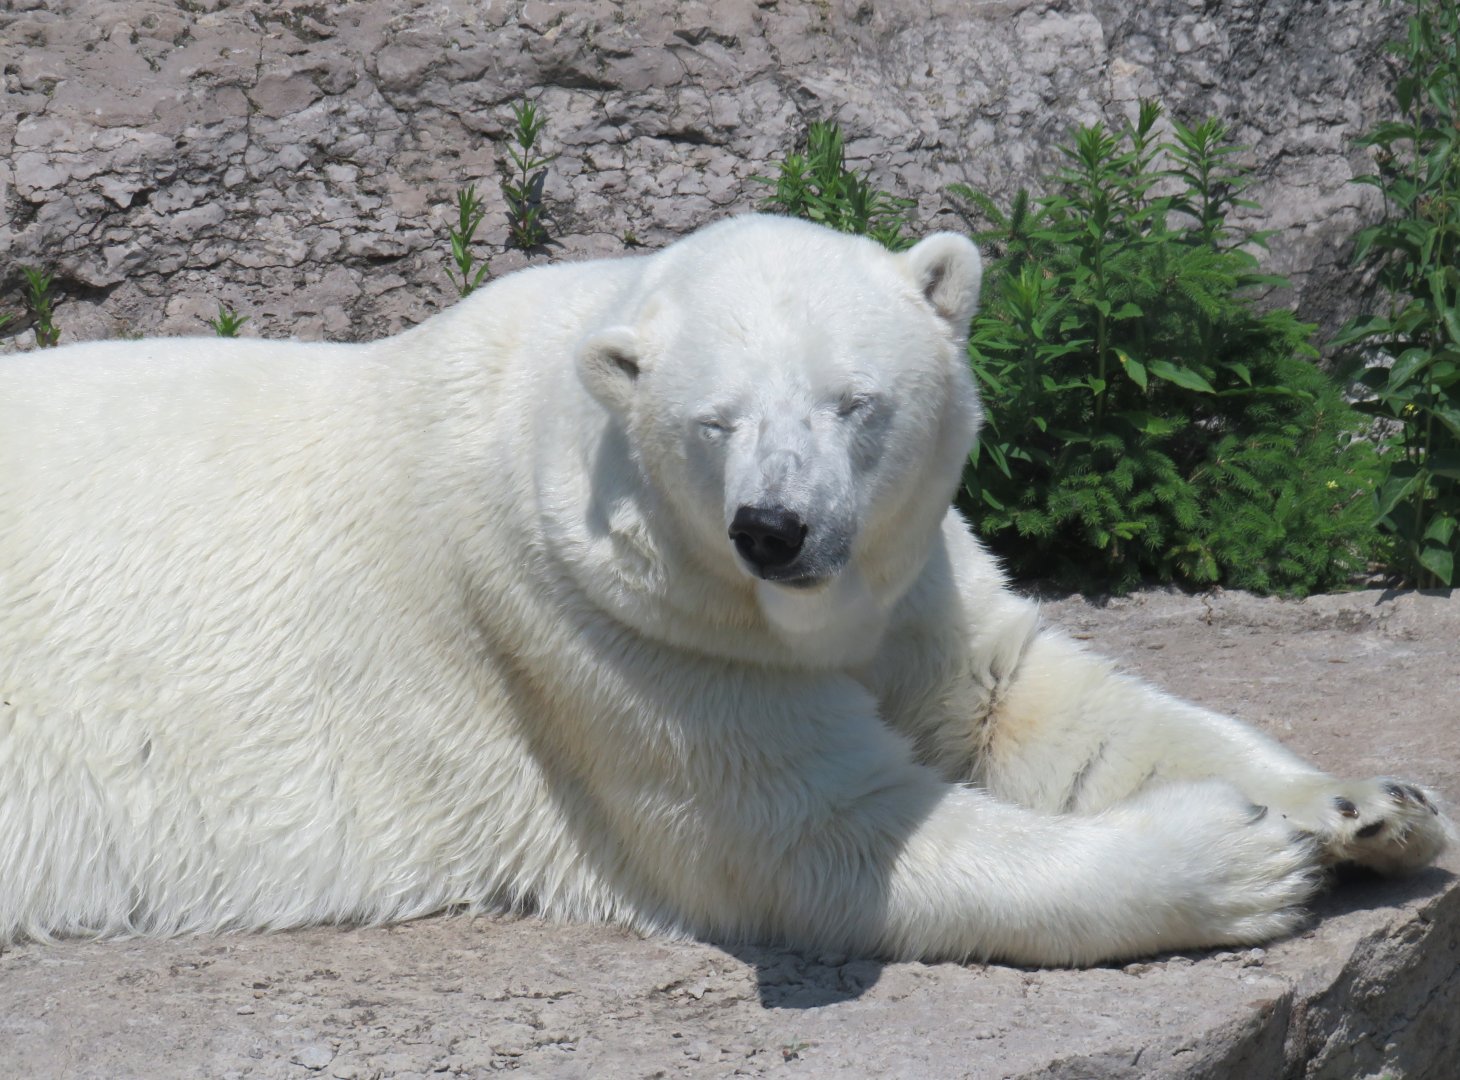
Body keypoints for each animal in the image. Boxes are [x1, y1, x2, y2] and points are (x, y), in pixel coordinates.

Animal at [0, 214, 1451, 966]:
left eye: (852, 401)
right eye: (714, 422)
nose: (773, 527)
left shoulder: (916, 589)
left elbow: (1039, 706)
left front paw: (1366, 806)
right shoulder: (593, 629)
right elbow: (815, 835)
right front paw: (1236, 860)